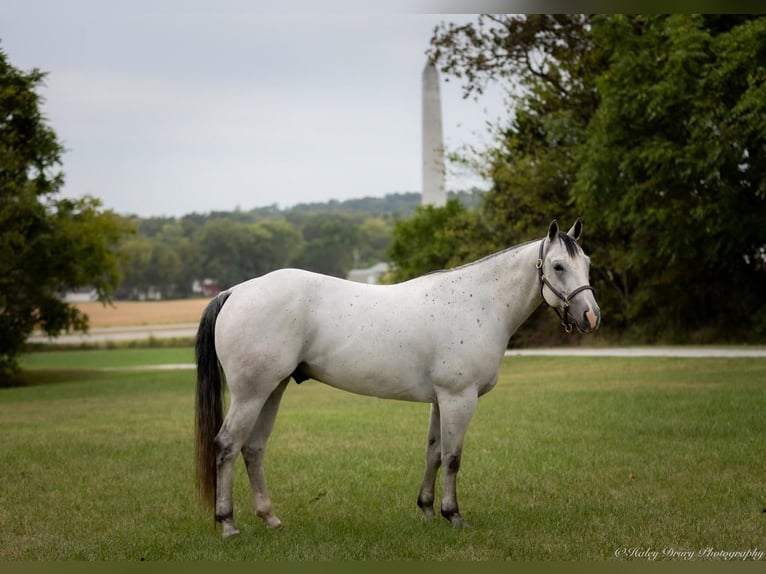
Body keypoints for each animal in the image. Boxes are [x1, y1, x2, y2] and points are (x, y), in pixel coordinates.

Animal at [195, 218, 604, 536]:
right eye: (557, 266)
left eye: (586, 262)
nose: (591, 317)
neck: (476, 303)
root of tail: (235, 291)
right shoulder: (459, 397)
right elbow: (453, 457)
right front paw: (453, 515)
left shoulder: (441, 399)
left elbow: (433, 453)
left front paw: (427, 510)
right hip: (251, 393)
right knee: (227, 445)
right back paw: (228, 524)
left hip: (272, 389)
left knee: (253, 448)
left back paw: (271, 519)